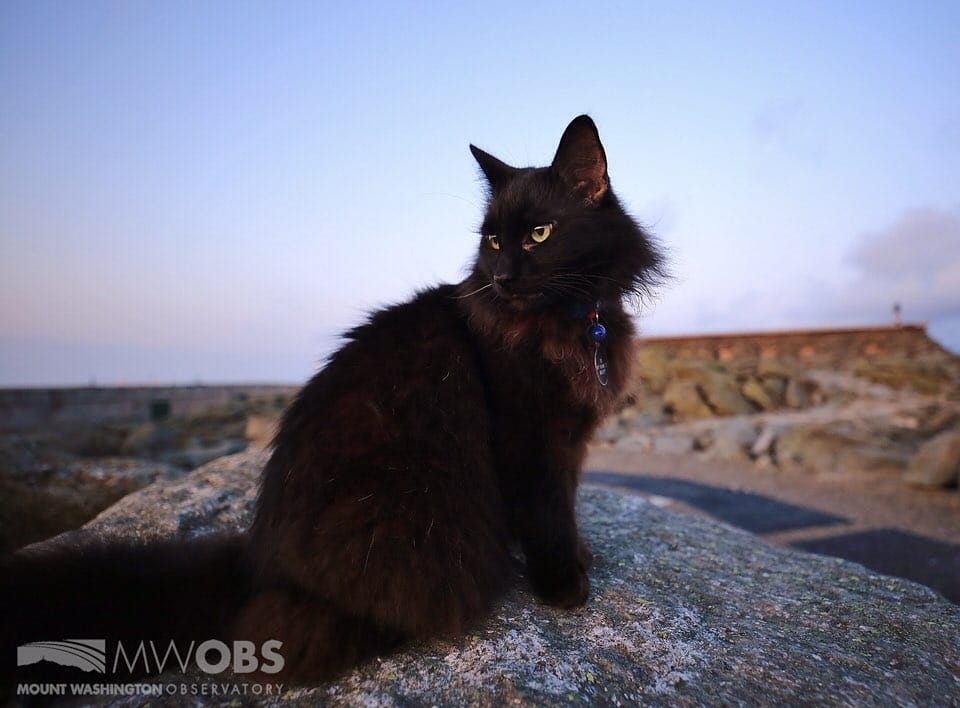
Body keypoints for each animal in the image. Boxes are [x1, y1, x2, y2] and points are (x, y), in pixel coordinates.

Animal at [0, 113, 660, 684]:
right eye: (493, 241)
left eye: (539, 234)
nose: (499, 278)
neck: (574, 322)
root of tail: (254, 563)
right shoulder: (527, 435)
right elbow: (547, 512)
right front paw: (564, 582)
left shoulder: (568, 441)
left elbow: (563, 503)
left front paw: (579, 557)